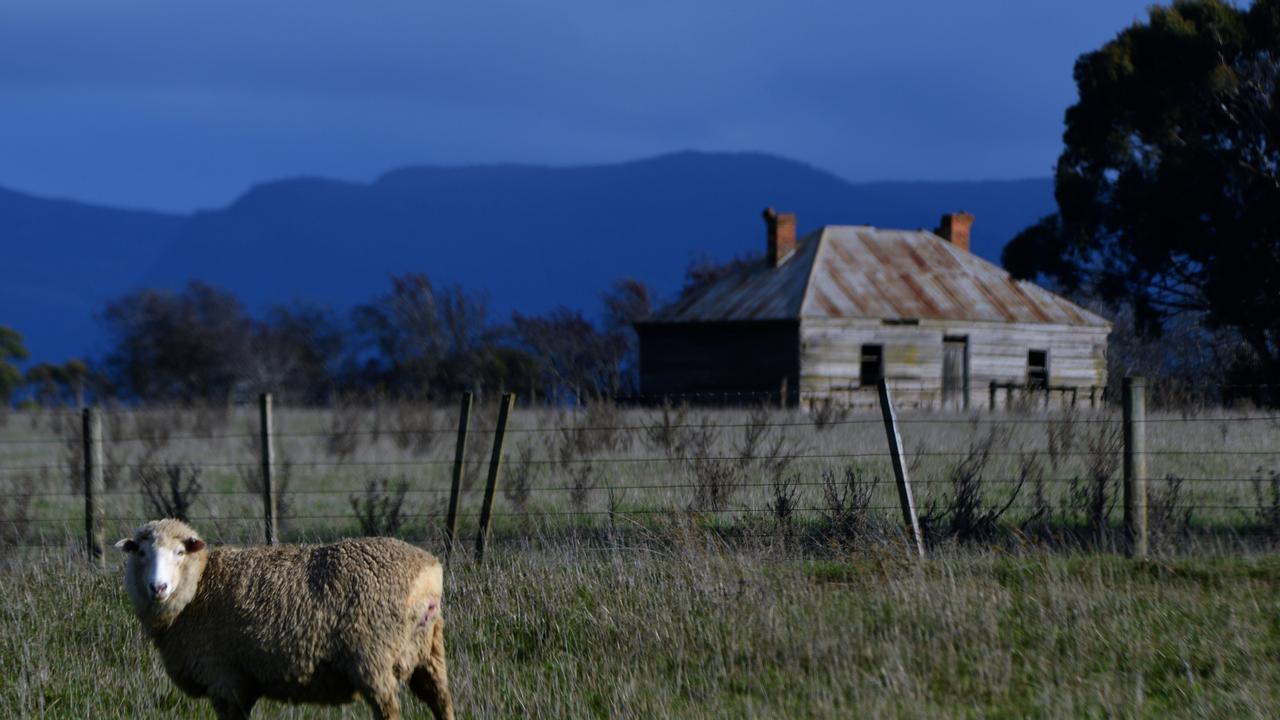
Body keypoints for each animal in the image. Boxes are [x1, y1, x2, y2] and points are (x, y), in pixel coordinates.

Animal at [115, 515, 455, 717]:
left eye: (179, 553)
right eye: (141, 553)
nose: (158, 587)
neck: (199, 587)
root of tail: (429, 573)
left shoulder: (225, 678)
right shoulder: (244, 682)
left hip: (374, 657)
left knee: (390, 710)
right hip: (430, 653)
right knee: (442, 703)